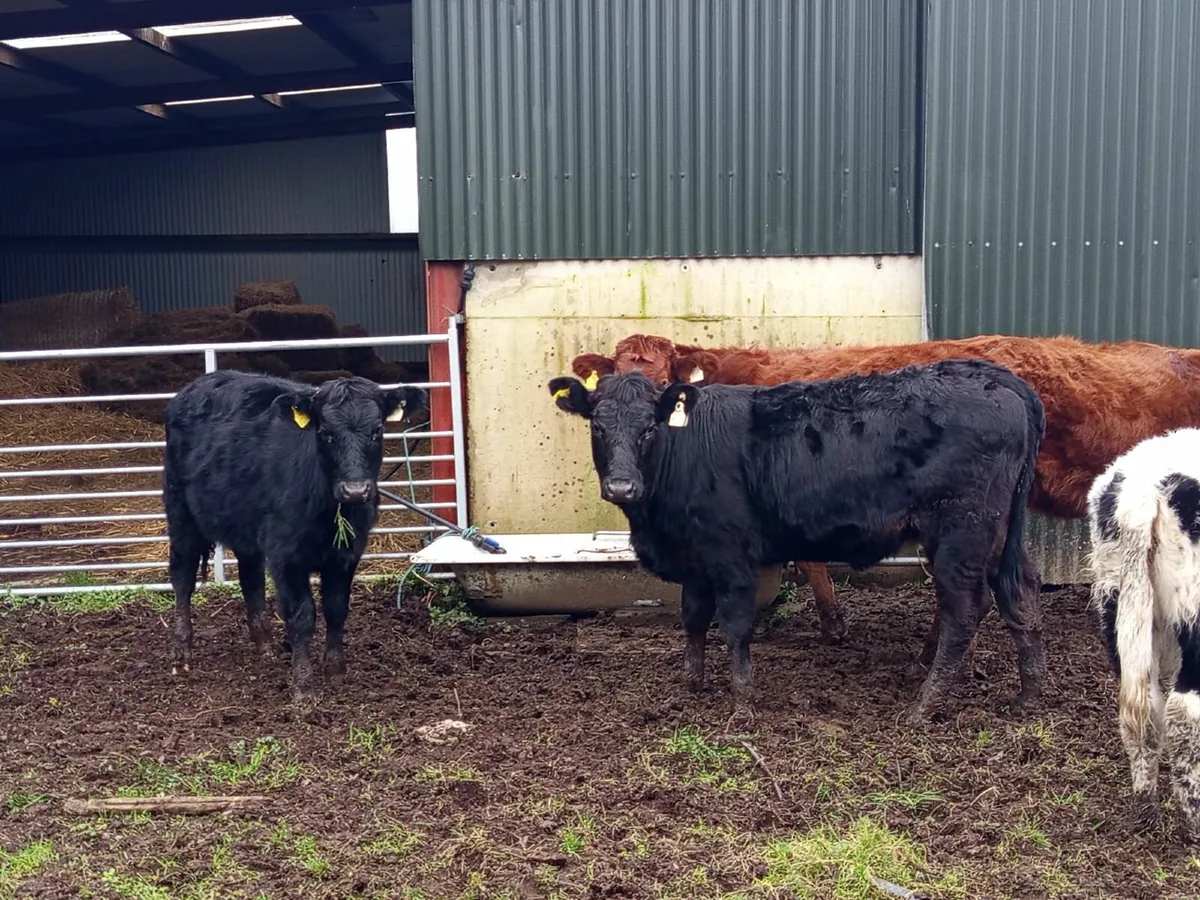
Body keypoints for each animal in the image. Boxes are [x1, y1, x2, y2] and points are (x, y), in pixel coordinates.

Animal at [162, 370, 427, 697]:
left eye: (377, 430)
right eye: (325, 432)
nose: (354, 490)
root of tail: (198, 384)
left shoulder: (347, 553)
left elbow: (336, 608)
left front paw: (335, 670)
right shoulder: (285, 555)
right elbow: (302, 615)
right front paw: (303, 684)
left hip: (246, 527)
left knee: (250, 579)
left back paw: (264, 645)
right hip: (181, 513)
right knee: (182, 577)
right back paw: (181, 652)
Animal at [548, 359, 1047, 721]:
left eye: (649, 427)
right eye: (597, 426)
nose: (621, 487)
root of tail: (995, 376)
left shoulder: (731, 556)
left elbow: (734, 626)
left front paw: (743, 704)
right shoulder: (696, 557)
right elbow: (692, 619)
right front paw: (692, 685)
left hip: (961, 531)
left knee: (964, 612)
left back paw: (924, 705)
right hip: (998, 535)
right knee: (1020, 595)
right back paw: (1028, 696)